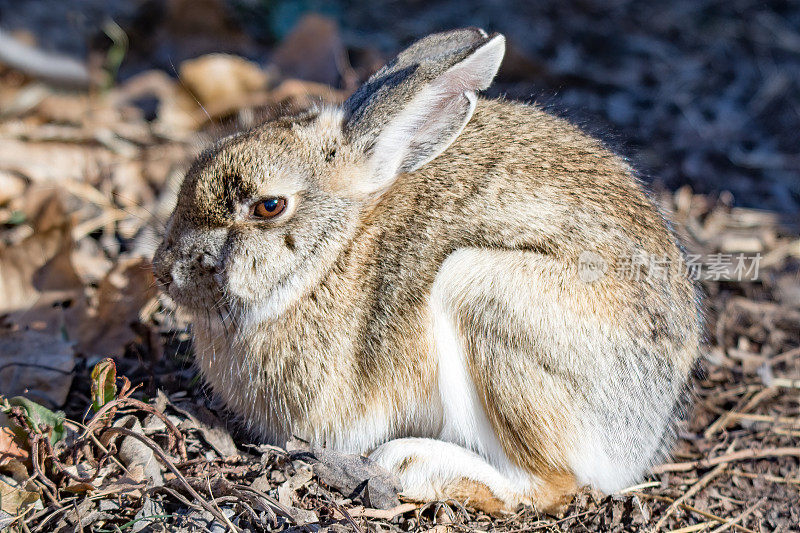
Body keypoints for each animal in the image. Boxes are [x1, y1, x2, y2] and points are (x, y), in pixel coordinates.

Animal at [152, 28, 700, 512]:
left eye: (269, 206)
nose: (164, 271)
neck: (336, 252)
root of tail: (641, 435)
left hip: (487, 295)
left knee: (549, 487)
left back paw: (413, 464)